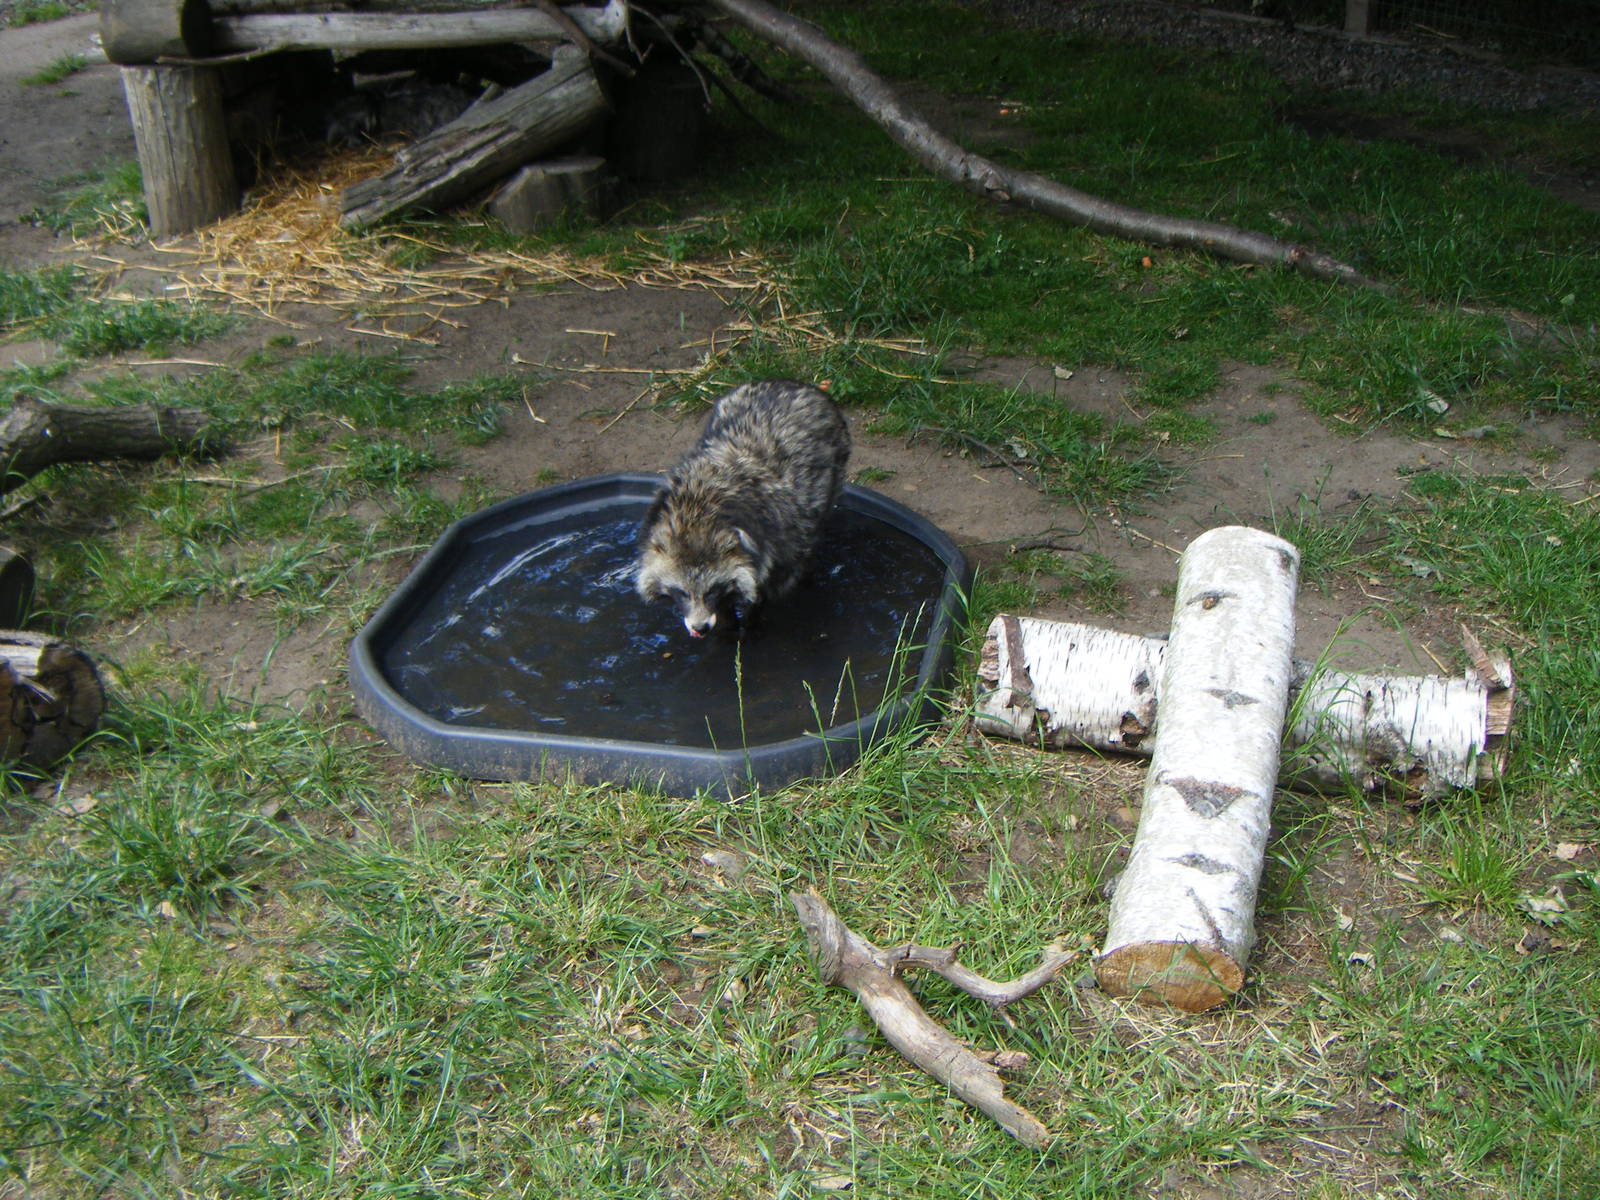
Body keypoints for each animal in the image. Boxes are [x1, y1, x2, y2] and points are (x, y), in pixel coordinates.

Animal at [635, 379, 851, 638]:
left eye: (712, 590)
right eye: (683, 592)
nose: (700, 628)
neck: (696, 512)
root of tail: (791, 383)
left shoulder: (773, 540)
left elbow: (763, 586)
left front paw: (749, 624)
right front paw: (727, 624)